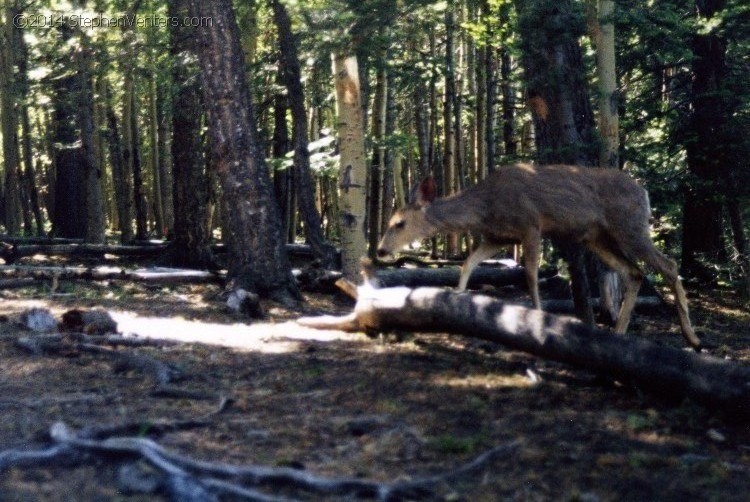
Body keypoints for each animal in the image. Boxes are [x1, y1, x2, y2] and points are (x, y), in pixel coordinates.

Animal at [378, 163, 704, 352]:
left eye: (399, 223)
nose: (380, 250)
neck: (485, 206)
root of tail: (644, 192)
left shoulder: (530, 225)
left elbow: (531, 275)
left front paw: (536, 319)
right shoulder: (499, 236)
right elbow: (468, 263)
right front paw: (456, 299)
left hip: (630, 226)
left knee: (668, 265)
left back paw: (693, 338)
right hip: (597, 236)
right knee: (634, 272)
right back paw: (618, 334)